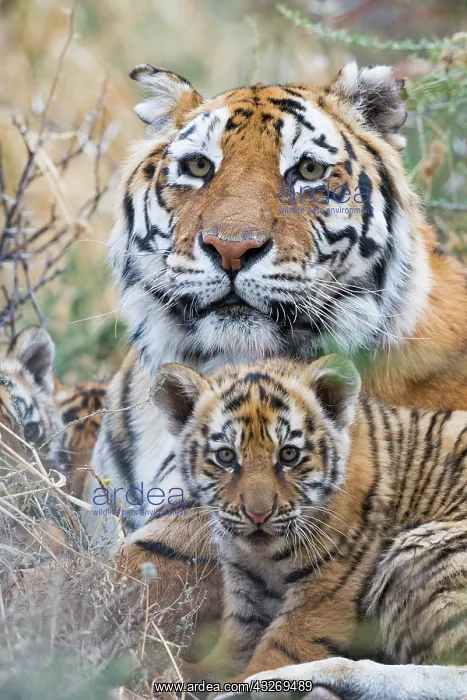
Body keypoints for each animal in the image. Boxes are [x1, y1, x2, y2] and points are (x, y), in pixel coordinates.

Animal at [146, 355, 467, 699]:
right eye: (226, 456)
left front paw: (246, 678)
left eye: (289, 454)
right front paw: (188, 674)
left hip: (423, 551)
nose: (258, 514)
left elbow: (285, 643)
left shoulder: (328, 585)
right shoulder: (245, 583)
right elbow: (235, 641)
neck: (263, 557)